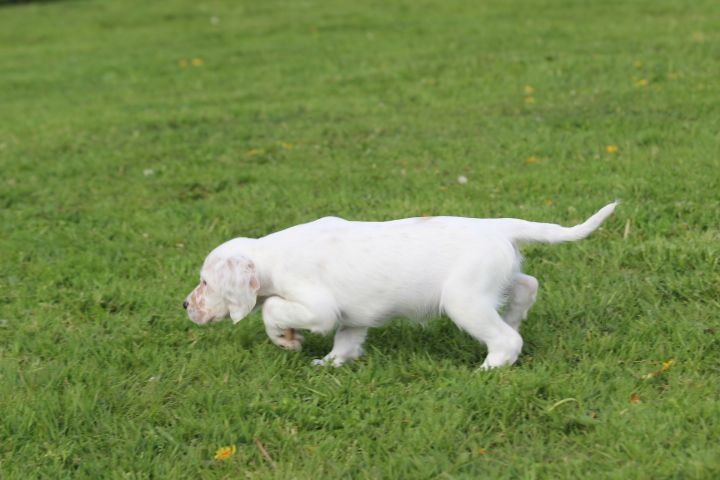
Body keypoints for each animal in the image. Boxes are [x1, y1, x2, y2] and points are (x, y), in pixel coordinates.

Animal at [183, 202, 617, 369]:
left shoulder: (318, 308)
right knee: (527, 286)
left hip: (464, 300)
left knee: (507, 340)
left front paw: (286, 339)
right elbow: (346, 341)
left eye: (205, 282)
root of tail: (498, 227)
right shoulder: (351, 316)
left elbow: (273, 309)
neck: (272, 255)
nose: (185, 306)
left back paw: (489, 367)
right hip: (500, 280)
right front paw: (331, 364)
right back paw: (514, 316)